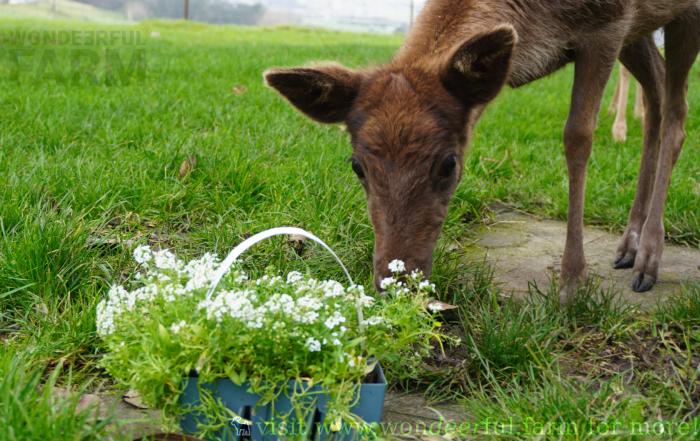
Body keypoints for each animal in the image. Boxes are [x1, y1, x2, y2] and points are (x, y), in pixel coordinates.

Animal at [264, 0, 700, 302]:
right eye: (357, 166)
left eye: (448, 164)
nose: (396, 281)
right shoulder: (624, 27)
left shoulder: (610, 24)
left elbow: (577, 135)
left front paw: (572, 283)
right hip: (642, 30)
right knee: (657, 95)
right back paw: (629, 242)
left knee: (677, 112)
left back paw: (648, 257)